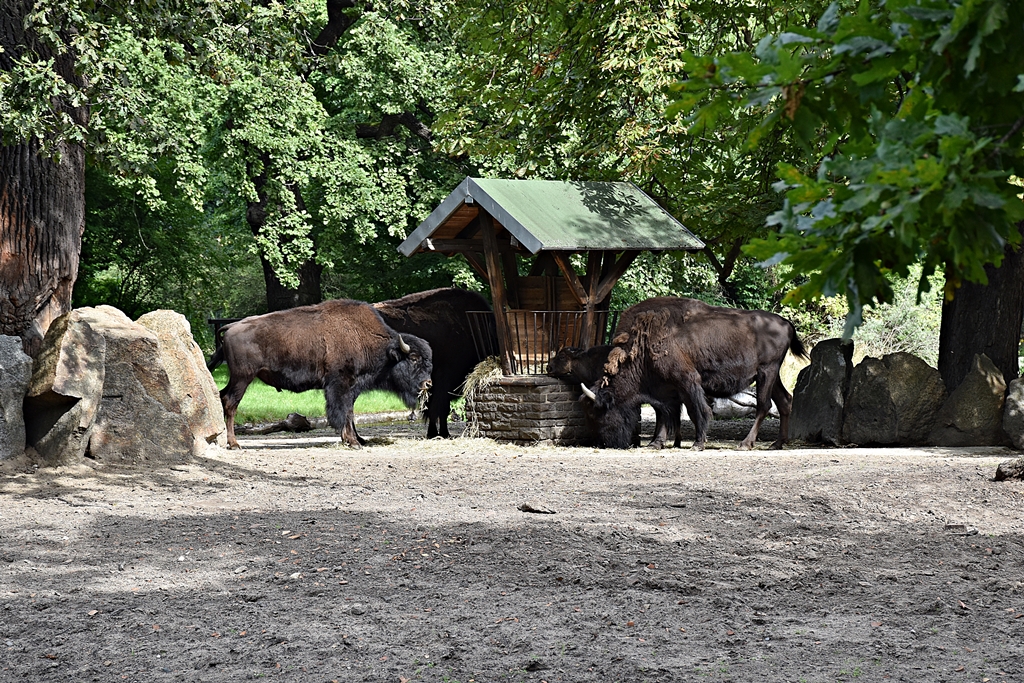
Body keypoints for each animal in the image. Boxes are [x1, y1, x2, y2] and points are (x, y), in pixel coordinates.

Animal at [208, 299, 433, 449]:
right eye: (414, 358)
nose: (428, 384)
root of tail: (231, 326)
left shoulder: (352, 387)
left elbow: (350, 412)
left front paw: (356, 439)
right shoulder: (340, 384)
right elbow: (343, 412)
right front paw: (352, 441)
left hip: (236, 378)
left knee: (221, 396)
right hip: (243, 378)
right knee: (230, 403)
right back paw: (234, 443)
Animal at [581, 296, 806, 450]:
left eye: (599, 412)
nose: (606, 443)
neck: (643, 344)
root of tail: (786, 323)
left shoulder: (687, 382)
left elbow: (696, 411)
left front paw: (698, 443)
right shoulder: (665, 389)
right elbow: (663, 413)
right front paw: (656, 443)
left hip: (766, 371)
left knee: (763, 405)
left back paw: (746, 443)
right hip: (771, 375)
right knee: (784, 401)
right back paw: (777, 443)